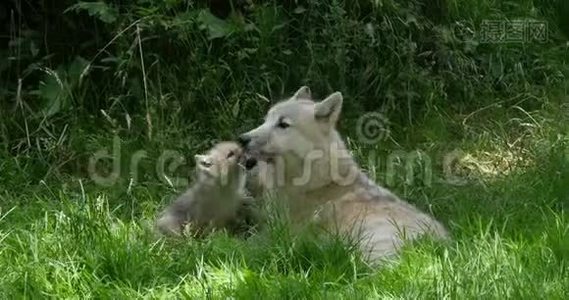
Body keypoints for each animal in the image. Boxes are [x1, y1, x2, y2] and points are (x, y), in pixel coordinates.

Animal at [236, 85, 448, 264]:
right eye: (266, 120)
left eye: (283, 124)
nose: (241, 139)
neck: (316, 179)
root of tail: (441, 245)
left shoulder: (276, 233)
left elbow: (245, 244)